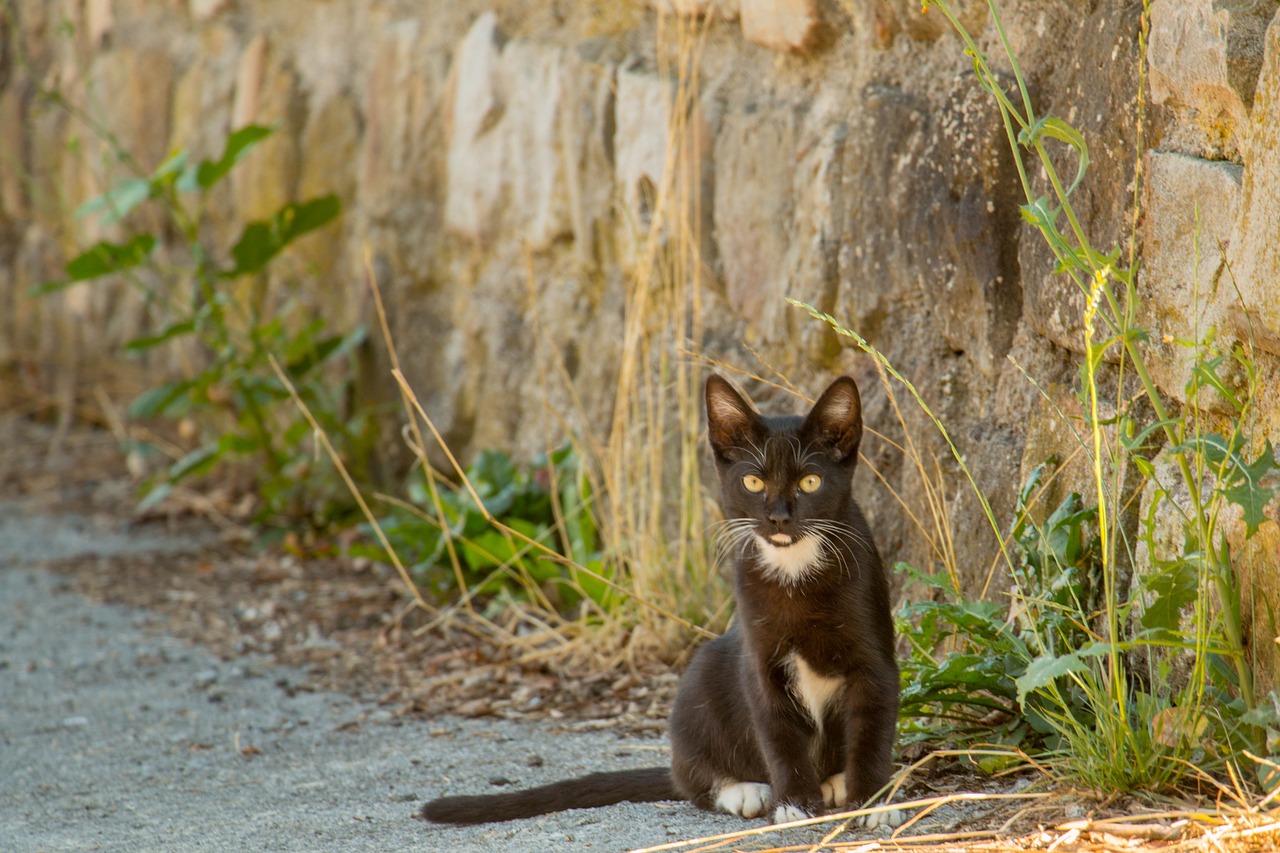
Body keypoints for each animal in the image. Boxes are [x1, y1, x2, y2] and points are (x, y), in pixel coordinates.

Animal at [422, 373, 901, 824]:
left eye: (810, 481)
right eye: (752, 481)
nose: (779, 517)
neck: (795, 569)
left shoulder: (874, 657)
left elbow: (873, 728)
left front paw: (872, 801)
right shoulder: (759, 657)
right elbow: (776, 731)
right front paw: (794, 805)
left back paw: (835, 781)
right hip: (704, 676)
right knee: (688, 772)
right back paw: (745, 790)